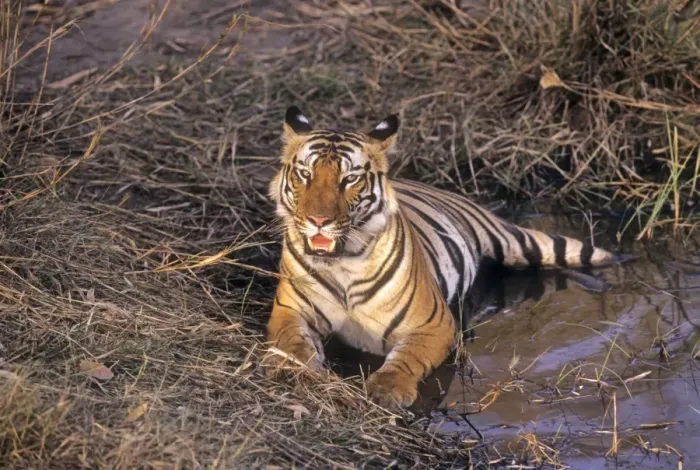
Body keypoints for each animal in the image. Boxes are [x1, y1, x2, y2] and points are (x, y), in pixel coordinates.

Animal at [265, 106, 628, 408]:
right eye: (305, 174)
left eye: (349, 179)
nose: (319, 220)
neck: (343, 263)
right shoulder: (289, 310)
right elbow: (291, 342)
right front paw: (293, 368)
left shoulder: (433, 324)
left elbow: (407, 358)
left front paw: (387, 390)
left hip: (517, 242)